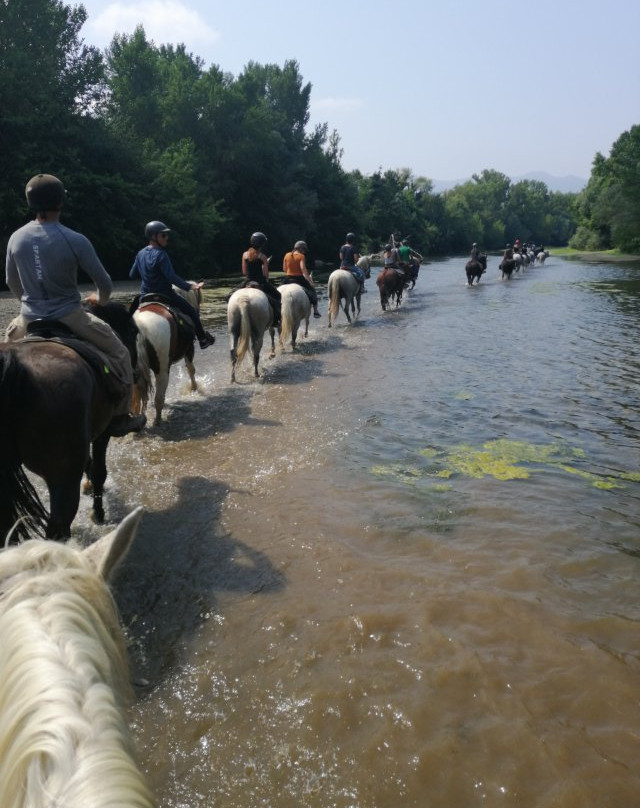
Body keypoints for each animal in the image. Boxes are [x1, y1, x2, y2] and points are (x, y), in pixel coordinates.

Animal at [0, 304, 141, 544]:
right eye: (133, 332)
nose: (137, 372)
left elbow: (90, 466)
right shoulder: (103, 433)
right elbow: (98, 471)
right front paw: (98, 513)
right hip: (63, 476)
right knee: (58, 526)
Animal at [134, 284, 204, 422]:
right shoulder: (189, 349)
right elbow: (191, 370)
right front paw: (194, 388)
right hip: (162, 368)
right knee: (159, 396)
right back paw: (158, 420)